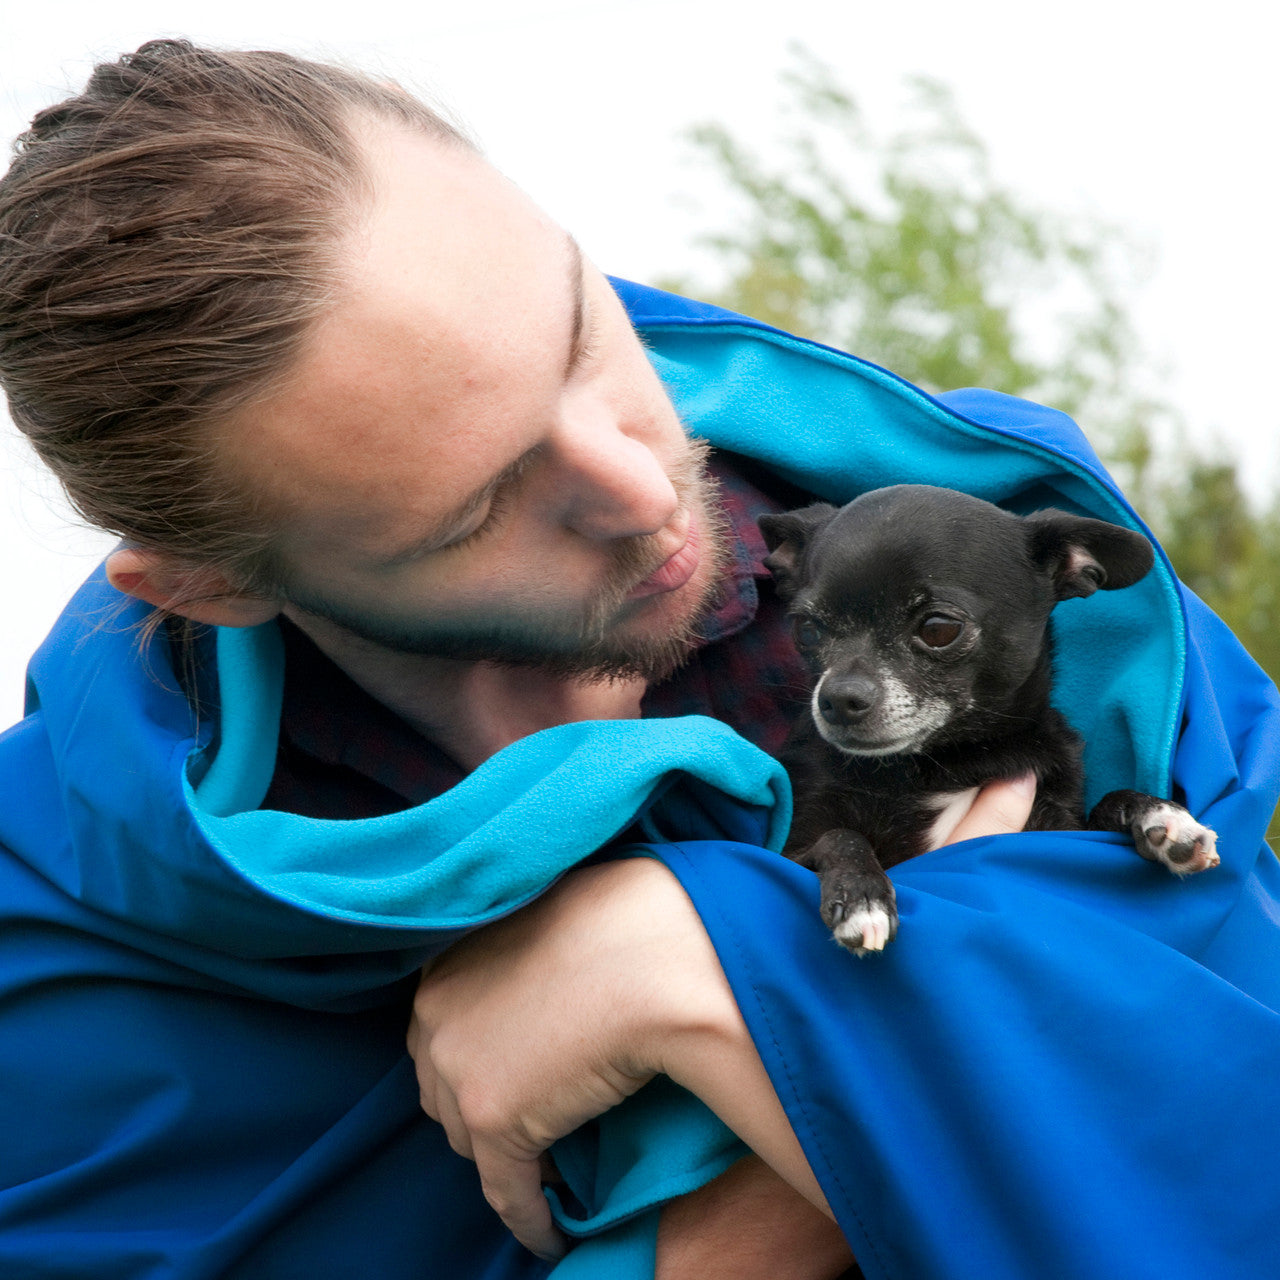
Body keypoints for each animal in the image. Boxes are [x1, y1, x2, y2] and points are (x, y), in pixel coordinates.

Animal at [757, 483, 1218, 957]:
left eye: (938, 628)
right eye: (806, 628)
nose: (838, 698)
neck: (942, 763)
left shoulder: (1060, 830)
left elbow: (1108, 803)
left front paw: (1160, 814)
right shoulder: (791, 848)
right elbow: (840, 837)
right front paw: (861, 896)